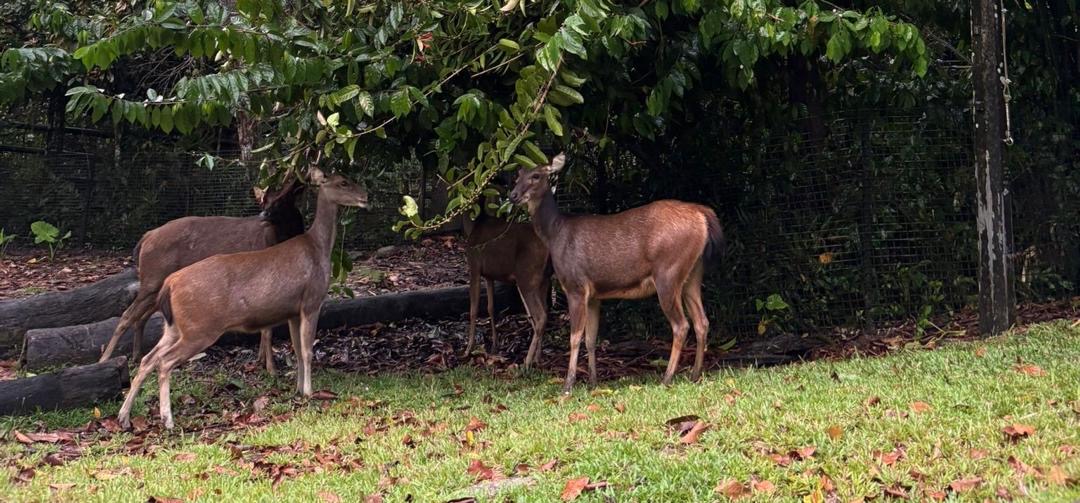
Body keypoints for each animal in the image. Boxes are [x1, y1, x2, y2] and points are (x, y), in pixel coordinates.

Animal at [98, 177, 305, 374]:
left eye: (284, 199)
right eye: (264, 201)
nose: (264, 214)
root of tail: (145, 238)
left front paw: (262, 360)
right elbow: (267, 329)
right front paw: (271, 368)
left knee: (140, 317)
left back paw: (135, 355)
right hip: (152, 279)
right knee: (127, 315)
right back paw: (105, 359)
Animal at [461, 210, 552, 368]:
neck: (473, 226)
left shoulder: (474, 267)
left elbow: (473, 310)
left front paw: (468, 349)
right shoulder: (489, 275)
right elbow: (491, 307)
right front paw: (494, 345)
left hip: (527, 277)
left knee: (541, 316)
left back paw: (527, 362)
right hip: (544, 280)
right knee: (545, 310)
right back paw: (537, 357)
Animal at [508, 153, 724, 393]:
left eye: (536, 176)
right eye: (518, 175)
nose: (512, 195)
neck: (555, 234)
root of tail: (702, 215)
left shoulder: (575, 285)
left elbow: (574, 337)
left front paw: (568, 384)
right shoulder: (593, 295)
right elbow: (590, 339)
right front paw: (593, 381)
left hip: (668, 271)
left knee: (681, 325)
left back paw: (667, 378)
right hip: (693, 273)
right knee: (701, 321)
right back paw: (695, 374)